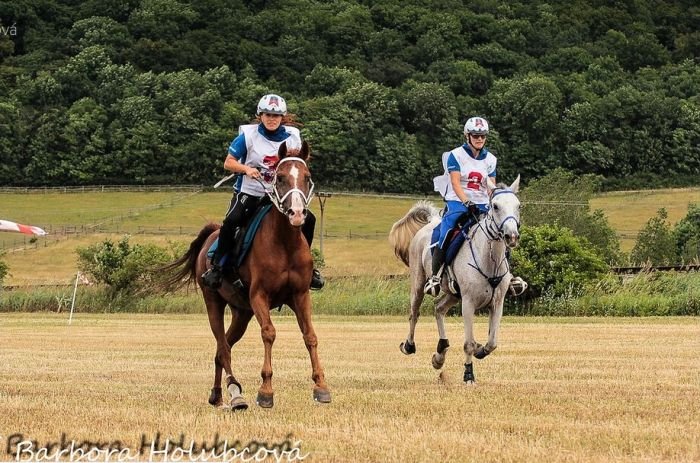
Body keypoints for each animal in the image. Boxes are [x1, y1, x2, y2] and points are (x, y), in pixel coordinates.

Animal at [161, 141, 330, 410]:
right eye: (280, 177)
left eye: (307, 176)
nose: (296, 213)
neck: (285, 243)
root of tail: (212, 233)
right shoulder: (259, 295)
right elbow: (269, 333)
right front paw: (266, 391)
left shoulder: (300, 295)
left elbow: (310, 336)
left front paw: (321, 386)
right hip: (213, 302)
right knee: (222, 347)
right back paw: (235, 393)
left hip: (242, 312)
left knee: (223, 347)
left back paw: (218, 394)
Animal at [388, 177, 520, 384]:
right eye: (496, 206)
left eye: (518, 206)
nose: (511, 236)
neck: (489, 258)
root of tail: (432, 222)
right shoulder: (468, 302)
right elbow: (468, 343)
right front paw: (468, 375)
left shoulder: (497, 303)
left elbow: (492, 342)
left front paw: (480, 350)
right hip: (418, 283)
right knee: (414, 314)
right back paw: (409, 345)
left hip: (453, 294)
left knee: (438, 308)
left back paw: (440, 354)